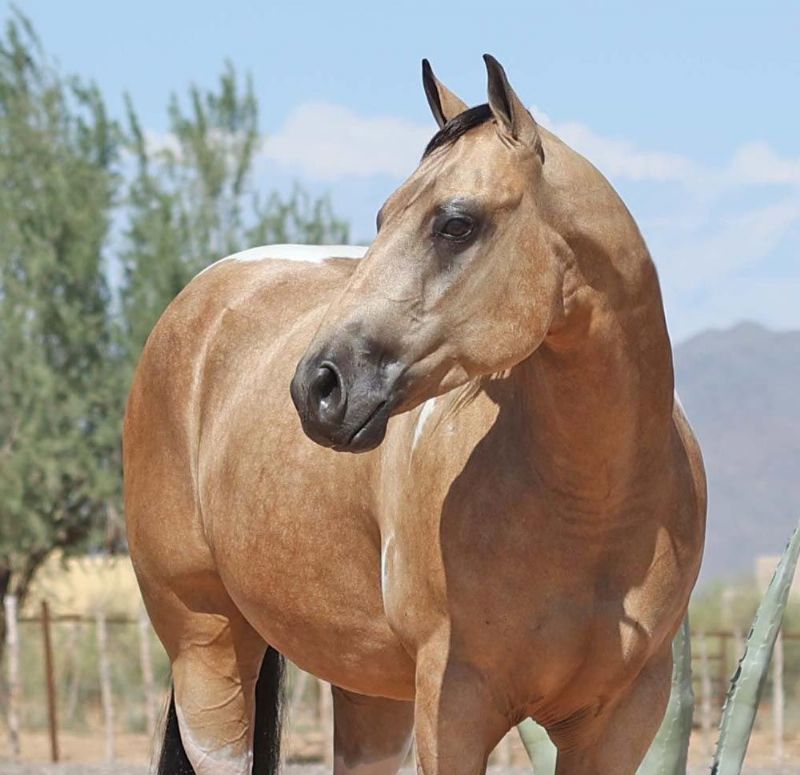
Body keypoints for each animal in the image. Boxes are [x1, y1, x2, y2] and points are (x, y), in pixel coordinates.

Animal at [124, 55, 706, 774]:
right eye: (383, 214)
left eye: (455, 222)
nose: (318, 385)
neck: (594, 511)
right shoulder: (453, 705)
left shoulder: (622, 718)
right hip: (206, 648)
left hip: (367, 686)